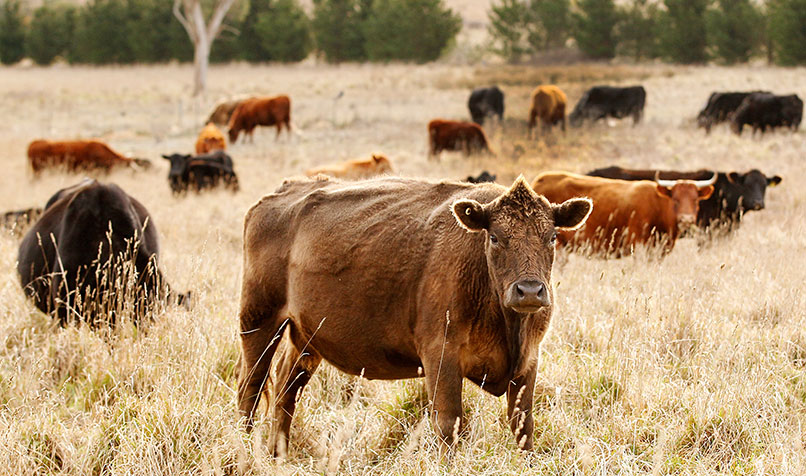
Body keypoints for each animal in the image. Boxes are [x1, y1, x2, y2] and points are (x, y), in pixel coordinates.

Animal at [237, 176, 592, 454]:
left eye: (552, 236)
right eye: (494, 237)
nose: (529, 291)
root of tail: (279, 194)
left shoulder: (528, 361)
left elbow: (523, 425)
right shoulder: (441, 356)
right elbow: (449, 423)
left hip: (306, 338)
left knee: (285, 390)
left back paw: (278, 454)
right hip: (258, 321)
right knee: (250, 388)